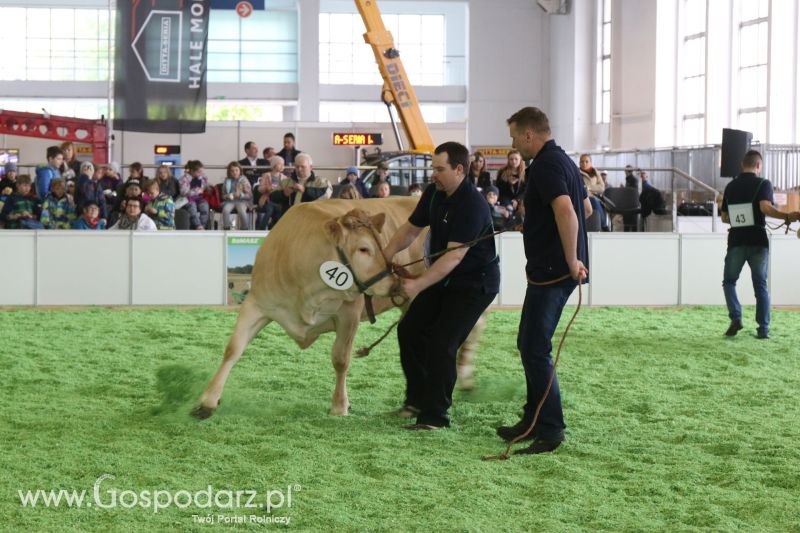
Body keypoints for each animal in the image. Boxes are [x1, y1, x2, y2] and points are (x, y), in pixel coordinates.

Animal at [191, 196, 484, 420]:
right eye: (364, 248)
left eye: (382, 245)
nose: (394, 283)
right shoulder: (256, 303)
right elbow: (233, 349)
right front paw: (207, 400)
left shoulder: (349, 312)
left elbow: (341, 359)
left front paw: (339, 405)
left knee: (472, 329)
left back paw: (465, 378)